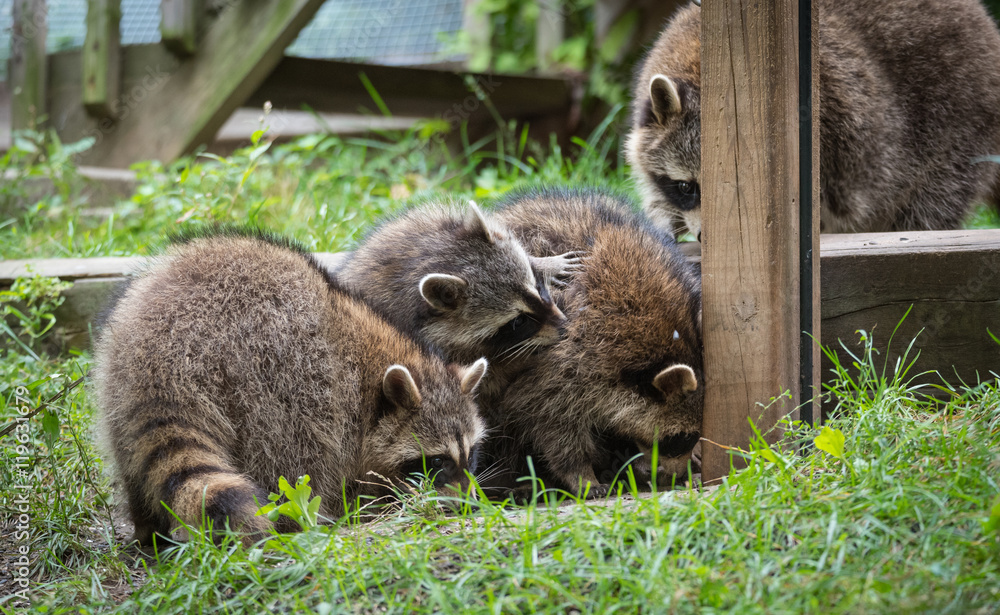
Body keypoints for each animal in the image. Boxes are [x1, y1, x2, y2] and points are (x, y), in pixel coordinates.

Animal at [92, 229, 488, 546]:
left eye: (471, 454)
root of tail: (164, 350)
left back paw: (148, 530)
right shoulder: (338, 395)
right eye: (435, 461)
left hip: (116, 385)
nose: (470, 506)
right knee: (294, 455)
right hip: (270, 375)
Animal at [336, 200, 574, 403]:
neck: (433, 258)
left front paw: (545, 264)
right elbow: (486, 377)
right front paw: (522, 359)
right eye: (518, 321)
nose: (564, 326)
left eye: (537, 287)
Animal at [487, 188, 703, 497]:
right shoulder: (564, 361)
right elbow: (549, 420)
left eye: (691, 437)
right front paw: (580, 473)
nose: (678, 476)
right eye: (679, 439)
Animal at [627, 0, 1000, 238]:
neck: (704, 72)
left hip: (960, 121)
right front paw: (664, 216)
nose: (706, 237)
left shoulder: (826, 134)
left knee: (928, 206)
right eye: (686, 187)